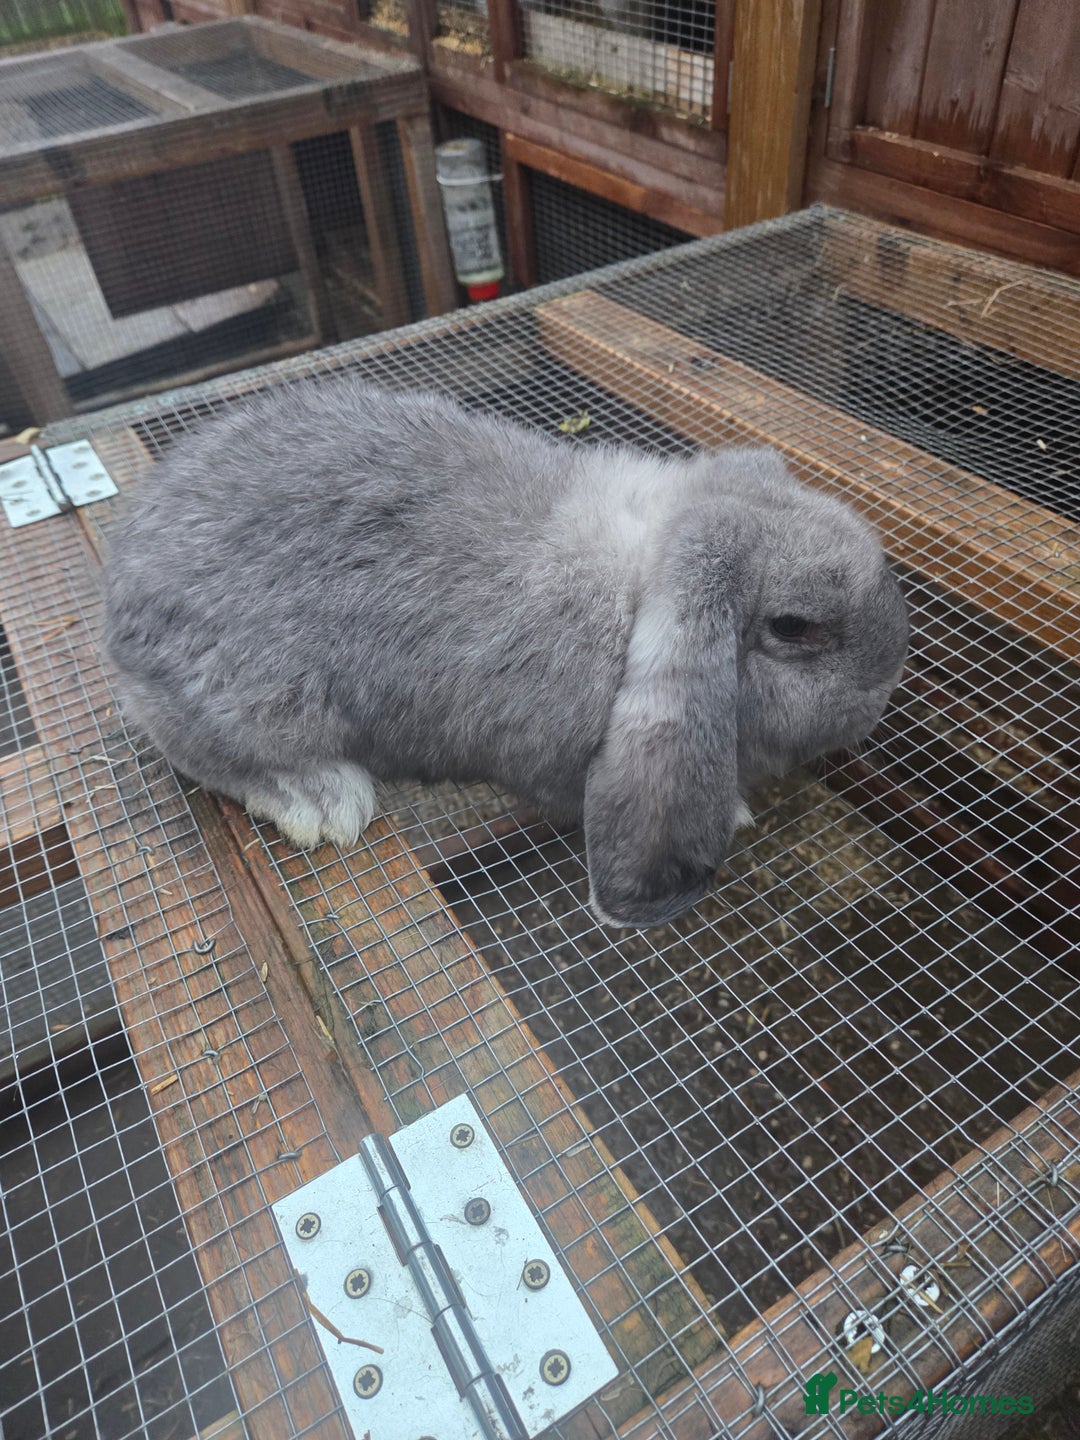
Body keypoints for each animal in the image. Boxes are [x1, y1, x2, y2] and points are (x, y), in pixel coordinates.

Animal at [105, 376, 909, 929]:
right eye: (794, 627)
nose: (891, 672)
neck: (635, 587)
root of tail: (119, 601)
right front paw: (737, 810)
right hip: (256, 704)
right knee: (208, 757)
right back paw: (322, 802)